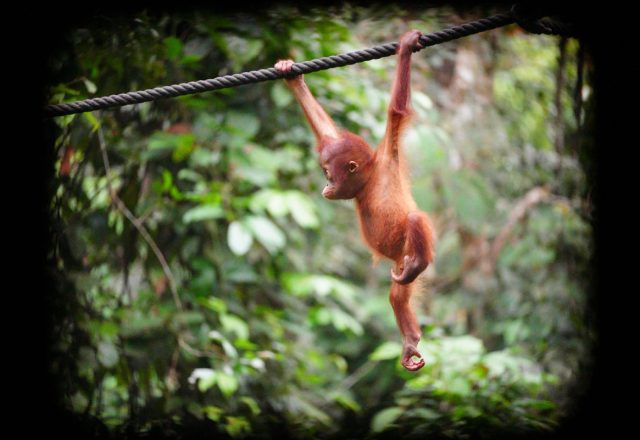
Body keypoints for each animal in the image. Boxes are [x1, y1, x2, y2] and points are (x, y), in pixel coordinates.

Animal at [275, 30, 435, 371]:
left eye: (327, 173)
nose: (325, 187)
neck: (369, 182)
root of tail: (404, 259)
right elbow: (326, 131)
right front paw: (292, 77)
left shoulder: (388, 154)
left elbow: (396, 112)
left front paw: (405, 47)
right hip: (399, 266)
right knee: (397, 295)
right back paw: (410, 341)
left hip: (409, 247)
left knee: (416, 219)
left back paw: (420, 263)